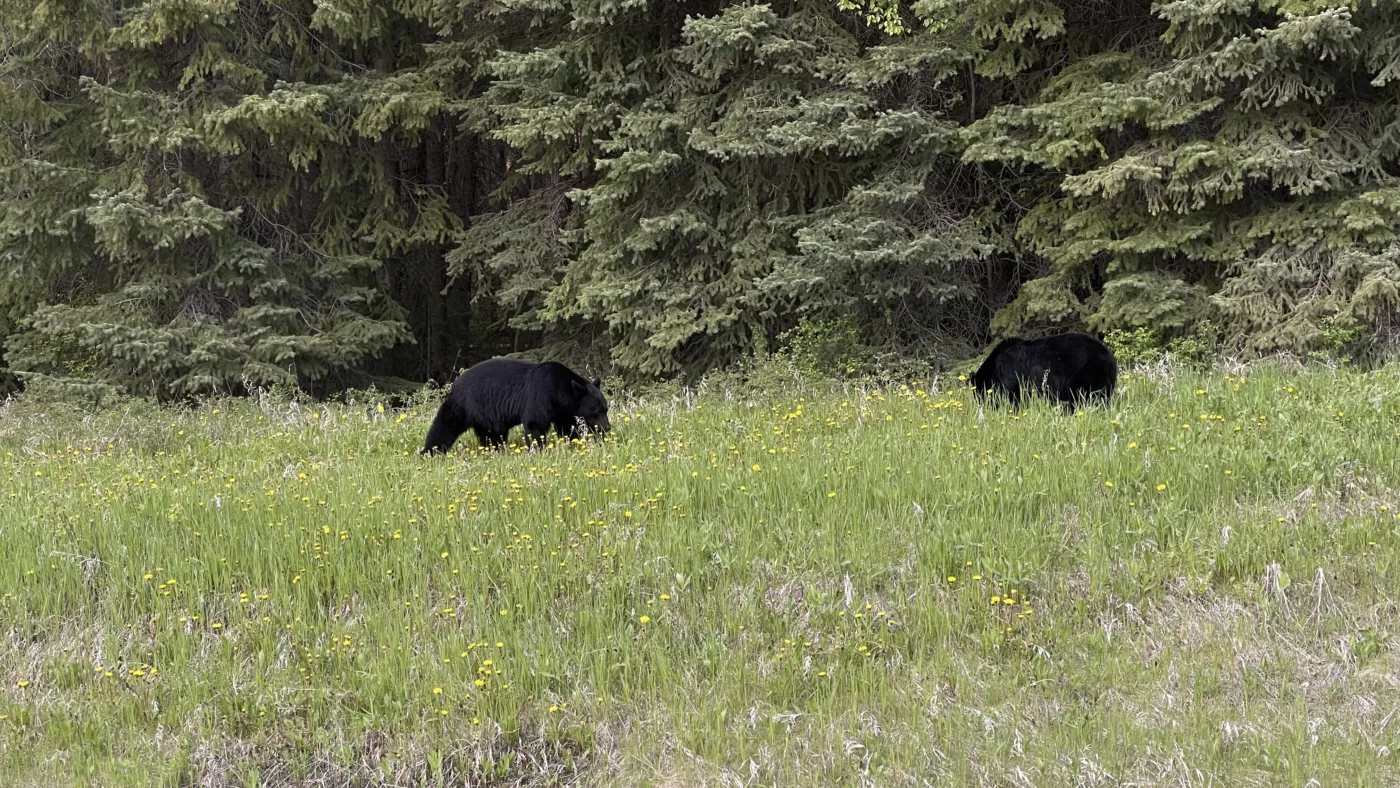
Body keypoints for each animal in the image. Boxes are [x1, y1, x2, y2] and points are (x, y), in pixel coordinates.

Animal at [417, 358, 610, 456]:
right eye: (596, 411)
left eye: (605, 409)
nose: (607, 427)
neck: (558, 390)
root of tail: (455, 383)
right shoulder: (540, 396)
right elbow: (535, 424)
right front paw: (537, 450)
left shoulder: (562, 410)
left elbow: (567, 426)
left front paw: (574, 443)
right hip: (464, 404)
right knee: (446, 424)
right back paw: (430, 451)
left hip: (487, 416)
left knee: (492, 435)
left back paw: (496, 451)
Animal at [974, 331, 1114, 414]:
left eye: (978, 394)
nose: (983, 408)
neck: (995, 368)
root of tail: (1109, 356)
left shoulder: (1012, 376)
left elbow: (1016, 398)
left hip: (1088, 374)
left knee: (1093, 396)